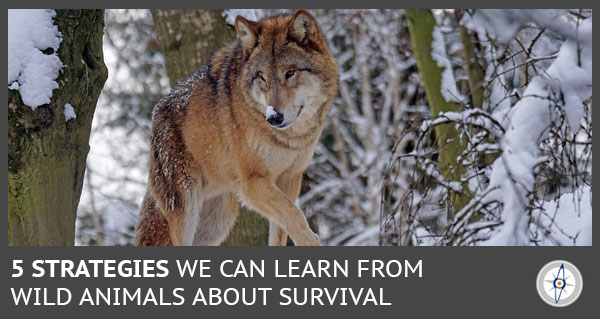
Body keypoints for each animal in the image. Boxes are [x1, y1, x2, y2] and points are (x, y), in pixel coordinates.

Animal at [136, 9, 340, 245]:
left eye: (290, 72)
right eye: (261, 77)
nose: (273, 117)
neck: (290, 139)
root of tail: (157, 112)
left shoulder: (290, 179)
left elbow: (283, 228)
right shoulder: (253, 183)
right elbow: (295, 216)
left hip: (217, 222)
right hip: (187, 212)